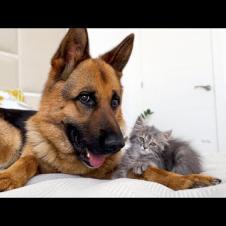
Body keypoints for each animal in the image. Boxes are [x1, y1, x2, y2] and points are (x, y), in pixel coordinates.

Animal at [0, 28, 221, 191]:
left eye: (115, 102)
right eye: (86, 98)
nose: (118, 145)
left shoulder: (115, 170)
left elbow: (148, 170)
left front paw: (188, 178)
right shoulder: (32, 159)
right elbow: (27, 161)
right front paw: (9, 176)